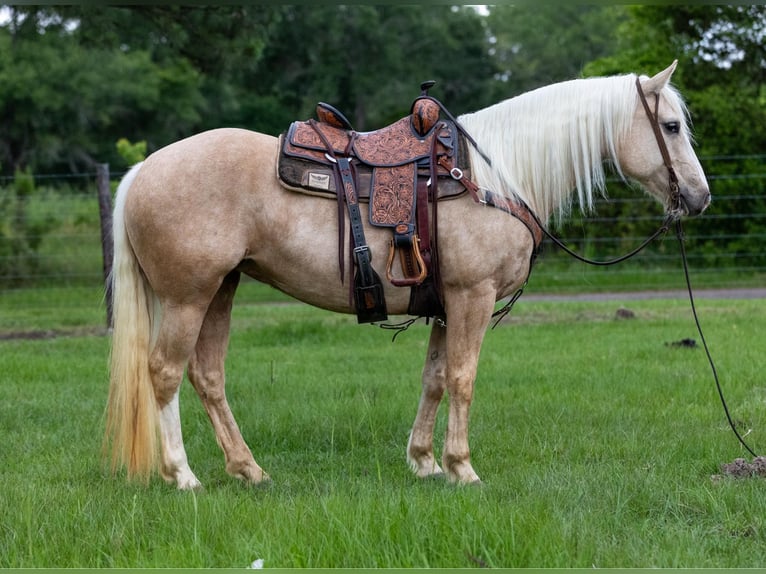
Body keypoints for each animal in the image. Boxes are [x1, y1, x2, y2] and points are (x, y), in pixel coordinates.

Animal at [105, 63, 712, 488]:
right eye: (671, 126)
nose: (700, 197)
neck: (495, 176)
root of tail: (143, 169)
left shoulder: (445, 304)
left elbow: (435, 379)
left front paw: (424, 462)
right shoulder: (472, 298)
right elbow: (464, 378)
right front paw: (462, 467)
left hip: (221, 290)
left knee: (208, 376)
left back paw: (248, 470)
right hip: (188, 297)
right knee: (164, 373)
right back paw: (183, 475)